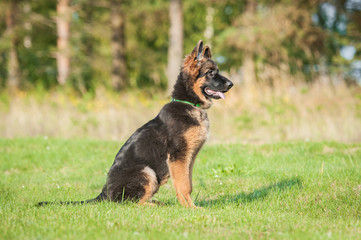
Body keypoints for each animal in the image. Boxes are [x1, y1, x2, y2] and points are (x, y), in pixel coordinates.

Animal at [38, 39, 232, 208]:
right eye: (211, 72)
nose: (231, 84)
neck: (188, 103)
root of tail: (104, 194)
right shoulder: (179, 156)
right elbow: (184, 185)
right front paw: (191, 208)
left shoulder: (188, 158)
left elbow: (187, 182)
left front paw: (188, 205)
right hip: (147, 171)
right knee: (129, 203)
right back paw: (154, 206)